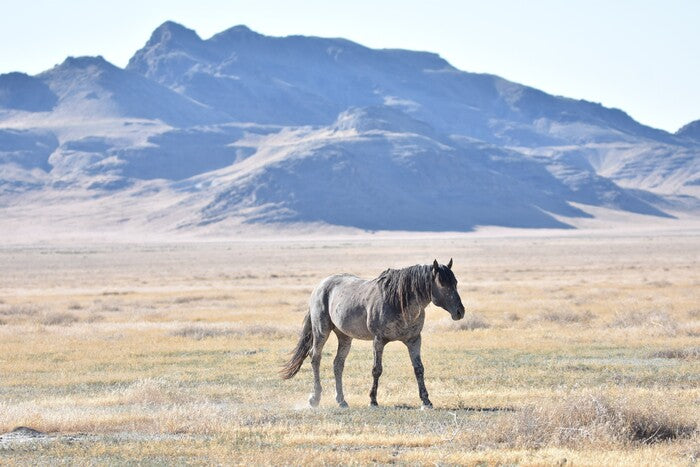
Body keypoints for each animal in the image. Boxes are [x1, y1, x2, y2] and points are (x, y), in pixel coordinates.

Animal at [281, 259, 465, 409]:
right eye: (442, 283)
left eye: (456, 282)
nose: (460, 311)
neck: (399, 302)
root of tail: (320, 285)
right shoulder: (379, 340)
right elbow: (377, 369)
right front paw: (373, 400)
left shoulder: (414, 340)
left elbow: (419, 369)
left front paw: (426, 401)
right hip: (321, 331)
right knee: (315, 358)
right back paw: (315, 399)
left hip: (344, 337)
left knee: (338, 364)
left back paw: (341, 401)